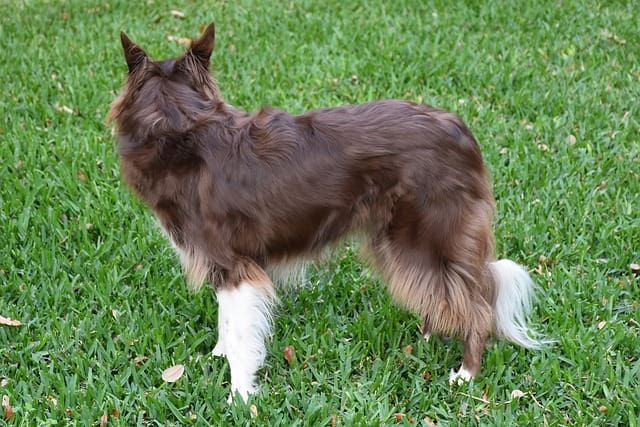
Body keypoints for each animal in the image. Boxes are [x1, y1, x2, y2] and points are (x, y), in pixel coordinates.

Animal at [109, 23, 544, 402]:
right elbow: (227, 321)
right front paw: (219, 355)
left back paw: (465, 374)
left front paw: (240, 395)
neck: (179, 127)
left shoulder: (234, 265)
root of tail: (462, 131)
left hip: (426, 234)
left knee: (477, 303)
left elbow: (240, 332)